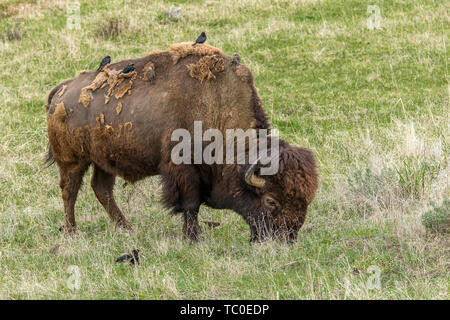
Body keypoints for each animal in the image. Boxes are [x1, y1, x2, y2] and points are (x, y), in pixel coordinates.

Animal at [44, 42, 318, 242]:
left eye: (306, 200)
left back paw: (127, 228)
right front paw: (194, 237)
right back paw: (72, 232)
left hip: (104, 161)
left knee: (101, 189)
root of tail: (62, 90)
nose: (286, 238)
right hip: (72, 161)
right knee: (69, 191)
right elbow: (190, 204)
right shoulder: (183, 171)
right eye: (271, 200)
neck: (218, 106)